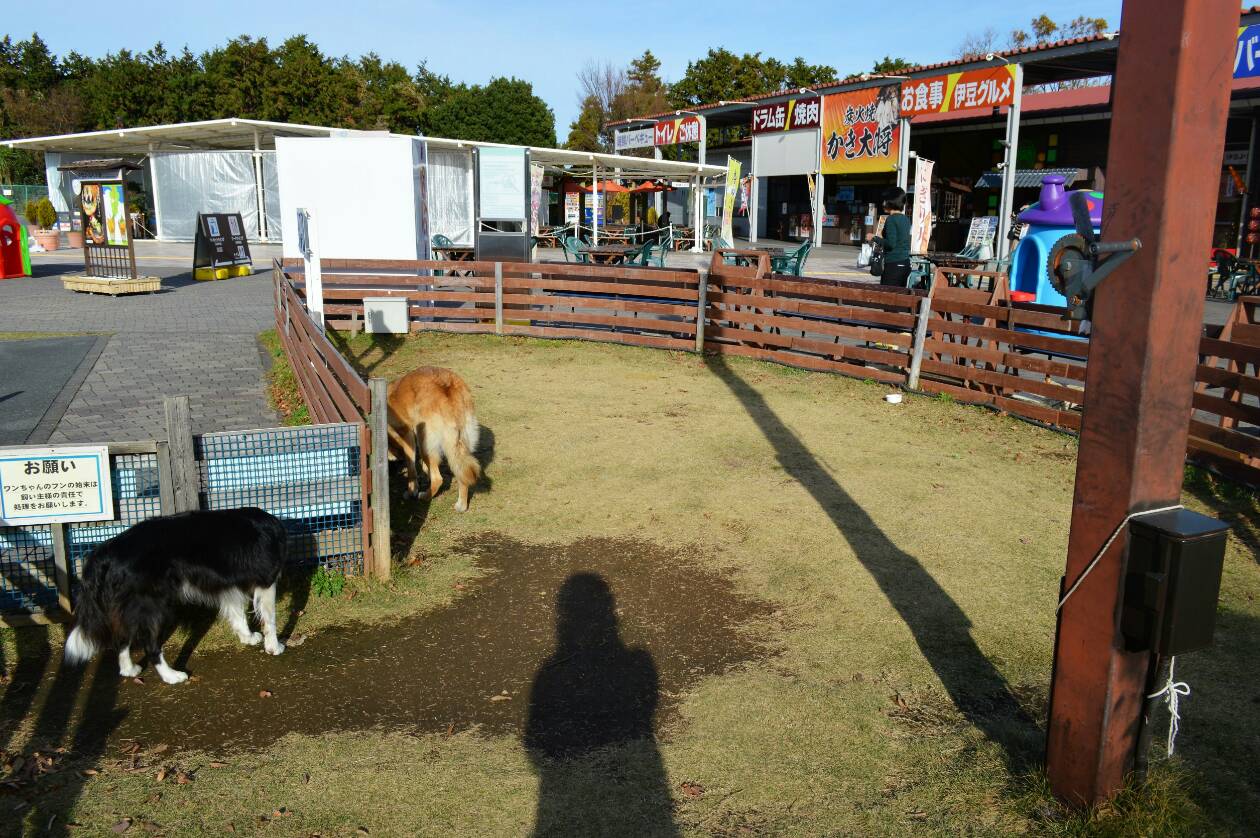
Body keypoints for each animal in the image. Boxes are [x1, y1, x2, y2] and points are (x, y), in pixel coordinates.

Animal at [67, 506, 289, 685]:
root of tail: (108, 548)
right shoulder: (267, 581)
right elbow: (270, 619)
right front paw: (274, 646)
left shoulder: (228, 585)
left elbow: (237, 614)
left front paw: (247, 637)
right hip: (154, 606)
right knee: (150, 646)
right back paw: (171, 676)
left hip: (127, 607)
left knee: (122, 637)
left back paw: (129, 670)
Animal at [385, 365, 478, 509]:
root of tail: (446, 387)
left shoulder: (408, 435)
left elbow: (411, 468)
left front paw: (412, 490)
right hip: (459, 444)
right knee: (461, 473)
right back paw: (461, 505)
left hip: (424, 441)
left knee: (438, 479)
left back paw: (425, 496)